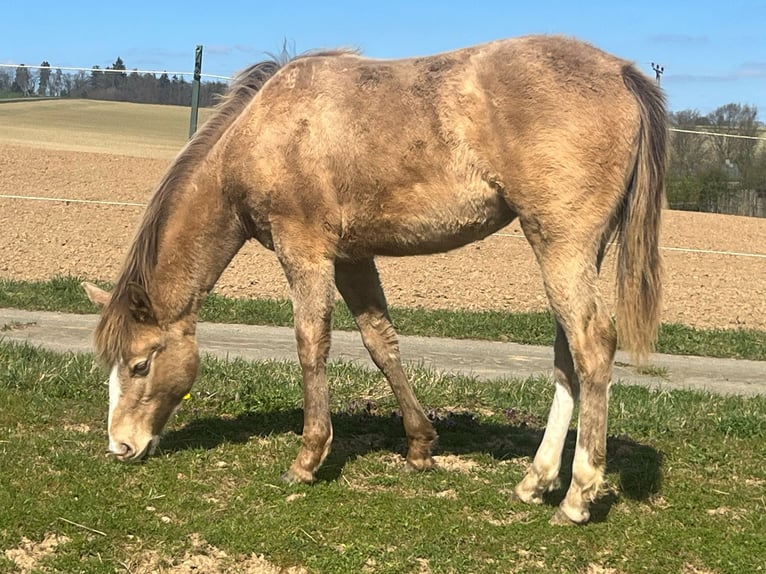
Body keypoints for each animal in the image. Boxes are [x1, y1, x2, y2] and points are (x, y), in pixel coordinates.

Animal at [83, 34, 666, 525]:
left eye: (139, 364)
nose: (121, 447)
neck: (263, 130)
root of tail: (619, 72)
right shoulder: (353, 257)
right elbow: (380, 342)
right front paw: (420, 445)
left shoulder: (305, 250)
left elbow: (311, 343)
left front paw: (308, 458)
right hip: (573, 252)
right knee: (568, 356)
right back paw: (536, 480)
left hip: (562, 245)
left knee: (592, 345)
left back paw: (577, 496)